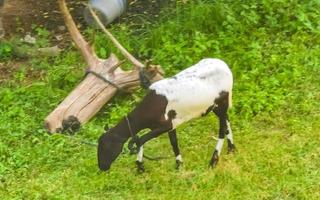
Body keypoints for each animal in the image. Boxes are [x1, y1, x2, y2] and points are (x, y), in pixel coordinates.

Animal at [97, 57, 235, 172]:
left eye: (105, 146)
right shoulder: (171, 124)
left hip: (222, 101)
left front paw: (140, 167)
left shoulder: (165, 125)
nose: (102, 167)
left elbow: (140, 140)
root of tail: (223, 64)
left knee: (222, 129)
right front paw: (179, 165)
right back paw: (231, 149)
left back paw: (213, 161)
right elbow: (173, 143)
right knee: (226, 121)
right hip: (214, 106)